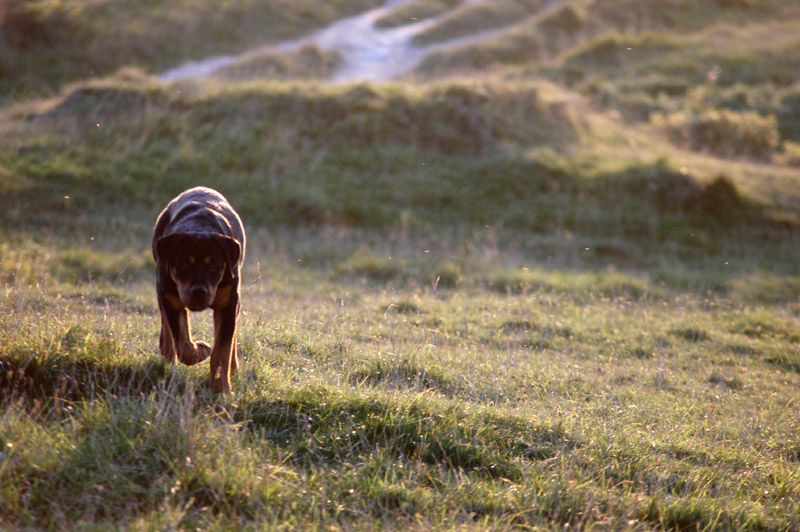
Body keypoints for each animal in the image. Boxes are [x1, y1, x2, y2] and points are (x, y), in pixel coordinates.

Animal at [152, 186, 245, 390]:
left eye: (214, 266)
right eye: (184, 265)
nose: (199, 291)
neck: (199, 226)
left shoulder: (228, 304)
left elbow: (222, 351)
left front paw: (221, 389)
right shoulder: (171, 298)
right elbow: (183, 344)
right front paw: (202, 349)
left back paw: (234, 369)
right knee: (168, 328)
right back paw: (167, 358)